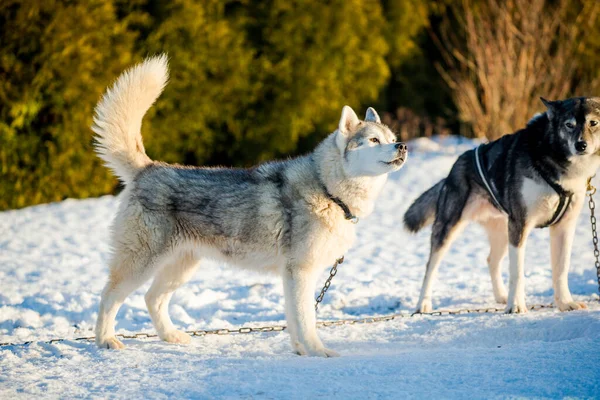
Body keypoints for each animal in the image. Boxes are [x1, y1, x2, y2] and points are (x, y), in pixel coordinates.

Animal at [92, 54, 408, 356]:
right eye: (374, 140)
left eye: (392, 138)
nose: (403, 146)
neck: (328, 190)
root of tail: (148, 169)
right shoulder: (301, 271)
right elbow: (307, 320)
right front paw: (318, 352)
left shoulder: (293, 275)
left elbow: (294, 320)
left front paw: (300, 351)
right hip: (141, 263)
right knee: (108, 297)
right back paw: (106, 340)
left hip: (181, 266)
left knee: (152, 298)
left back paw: (172, 337)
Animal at [404, 96, 600, 312]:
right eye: (569, 125)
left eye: (593, 123)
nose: (581, 145)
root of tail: (454, 169)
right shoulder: (520, 225)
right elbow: (517, 272)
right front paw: (516, 306)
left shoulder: (564, 227)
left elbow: (561, 269)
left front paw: (565, 303)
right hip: (449, 228)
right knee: (431, 266)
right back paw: (423, 304)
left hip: (502, 232)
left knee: (491, 261)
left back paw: (501, 296)